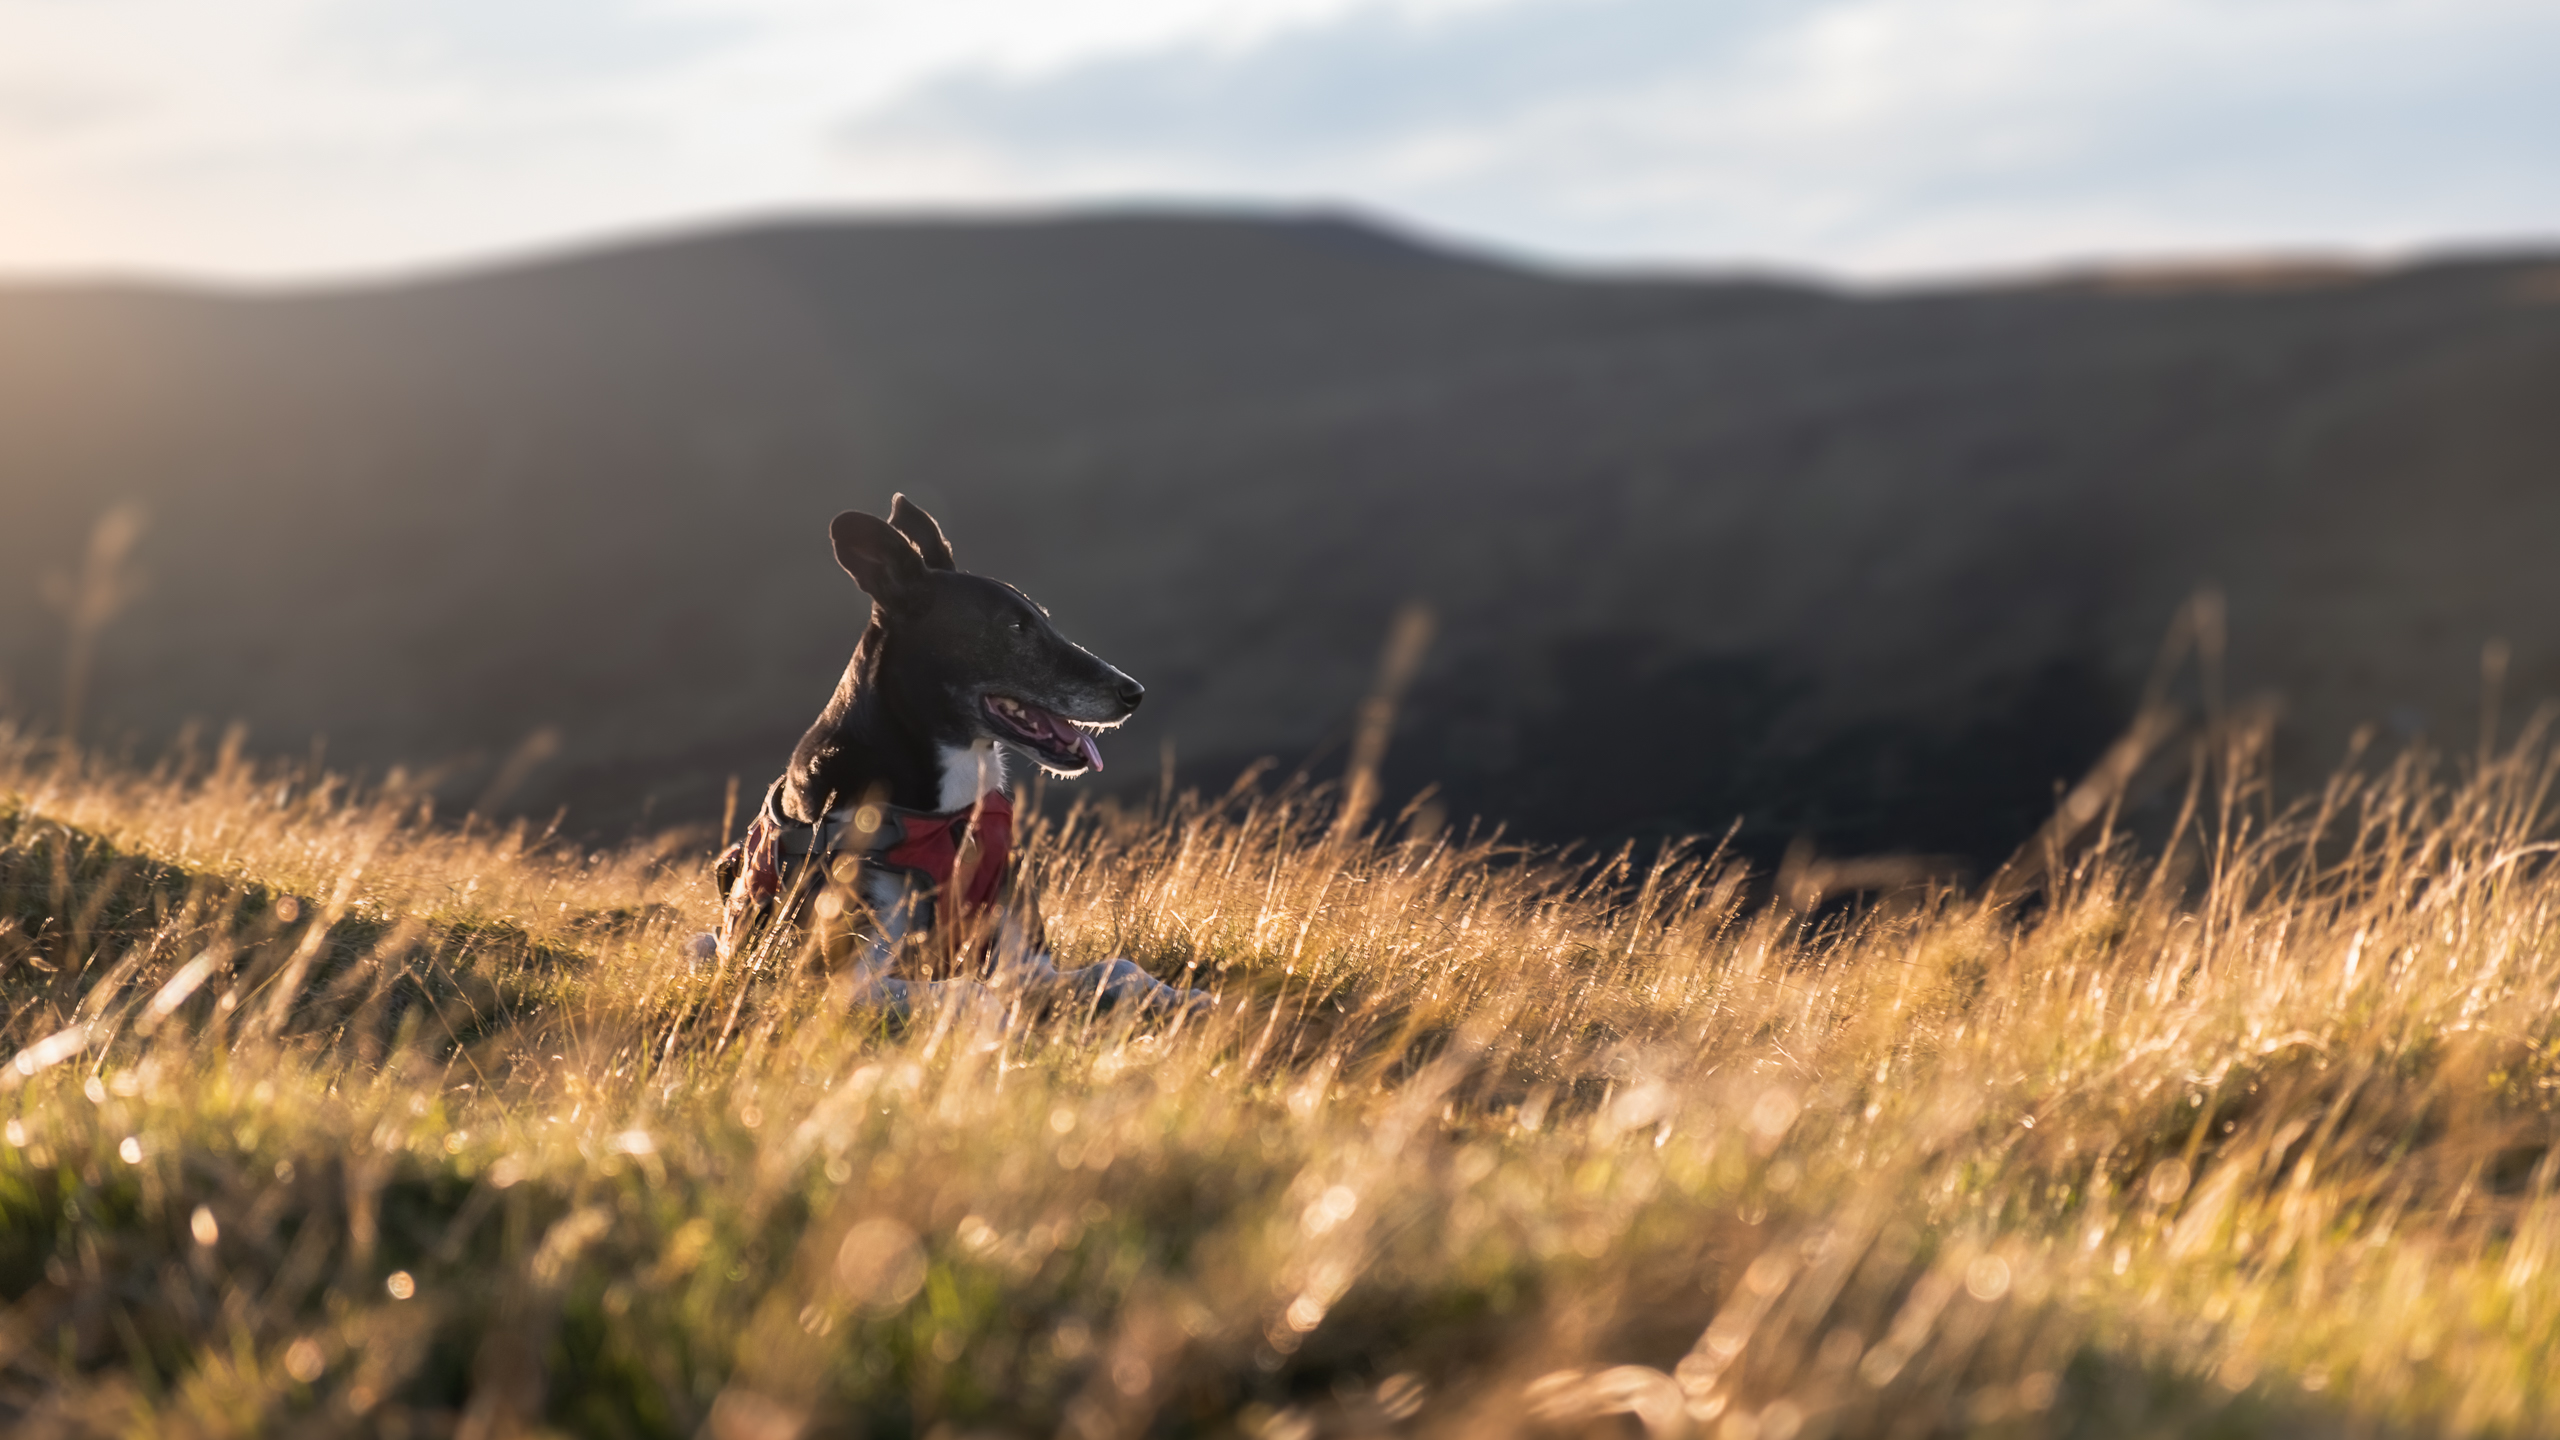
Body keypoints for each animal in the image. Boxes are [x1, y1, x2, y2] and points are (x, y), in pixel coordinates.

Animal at [711, 499, 1208, 1014]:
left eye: (1043, 619)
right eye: (1015, 627)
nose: (1134, 693)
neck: (946, 816)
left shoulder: (1027, 965)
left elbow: (1120, 968)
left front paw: (1184, 998)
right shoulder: (841, 984)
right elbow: (970, 992)